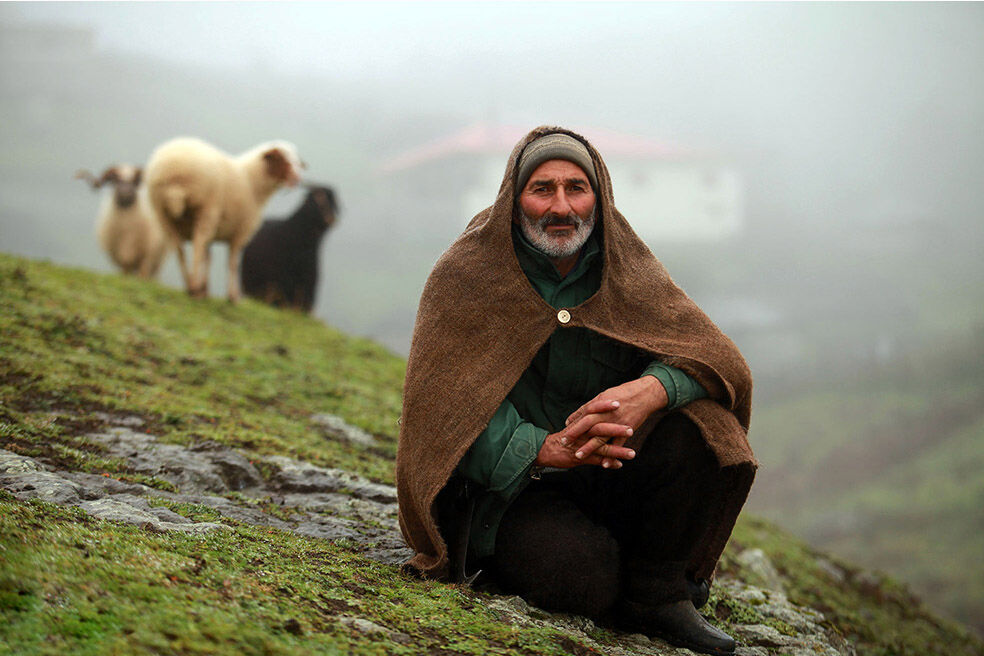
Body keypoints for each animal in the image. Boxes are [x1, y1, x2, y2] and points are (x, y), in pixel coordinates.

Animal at [142, 140, 304, 304]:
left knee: (180, 250)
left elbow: (209, 257)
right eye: (281, 158)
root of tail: (173, 172)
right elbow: (232, 263)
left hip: (162, 215)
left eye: (296, 159)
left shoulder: (215, 233)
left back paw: (190, 284)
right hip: (207, 209)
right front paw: (232, 297)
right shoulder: (240, 232)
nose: (297, 178)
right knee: (198, 245)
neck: (252, 182)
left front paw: (205, 290)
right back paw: (194, 287)